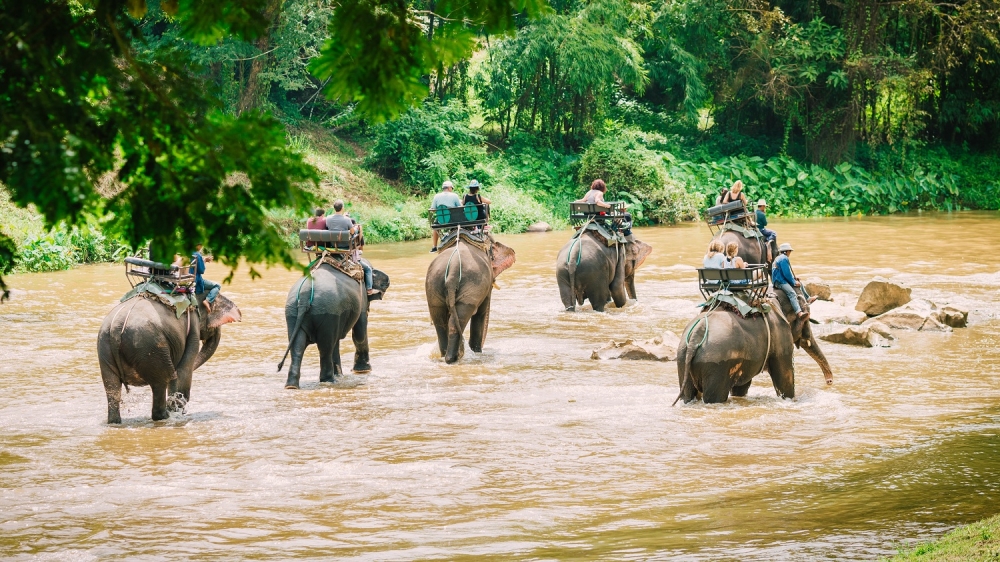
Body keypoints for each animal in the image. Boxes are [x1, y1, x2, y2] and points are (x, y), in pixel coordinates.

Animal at [96, 294, 244, 420]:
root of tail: (116, 327)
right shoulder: (193, 326)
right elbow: (184, 368)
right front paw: (179, 406)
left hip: (105, 348)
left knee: (112, 387)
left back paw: (115, 421)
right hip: (149, 348)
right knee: (160, 383)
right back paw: (166, 416)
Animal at [282, 260, 394, 388]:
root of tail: (304, 296)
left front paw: (341, 374)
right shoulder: (361, 298)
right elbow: (360, 333)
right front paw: (363, 370)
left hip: (293, 312)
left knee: (298, 346)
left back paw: (292, 386)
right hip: (328, 311)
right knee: (326, 347)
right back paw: (329, 380)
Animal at [676, 288, 832, 402]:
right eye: (806, 319)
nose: (829, 382)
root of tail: (695, 337)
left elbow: (742, 386)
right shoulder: (780, 335)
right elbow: (784, 378)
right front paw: (791, 400)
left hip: (683, 359)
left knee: (688, 395)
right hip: (716, 366)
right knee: (715, 397)